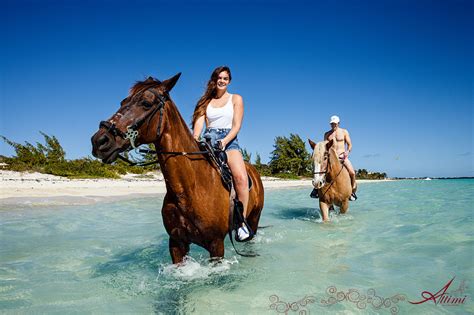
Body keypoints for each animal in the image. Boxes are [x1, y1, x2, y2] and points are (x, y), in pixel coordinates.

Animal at [90, 73, 264, 264]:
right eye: (123, 102)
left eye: (146, 103)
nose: (99, 141)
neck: (190, 188)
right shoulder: (176, 243)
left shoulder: (216, 245)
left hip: (254, 219)